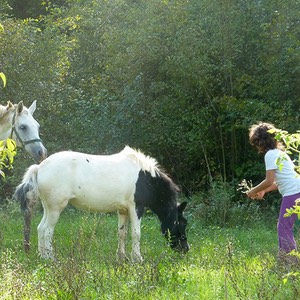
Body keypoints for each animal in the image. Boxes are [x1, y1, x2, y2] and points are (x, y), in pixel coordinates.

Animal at [14, 146, 190, 262]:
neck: (145, 177)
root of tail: (39, 167)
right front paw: (137, 258)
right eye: (182, 223)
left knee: (40, 228)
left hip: (49, 208)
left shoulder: (123, 210)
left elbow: (122, 233)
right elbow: (136, 234)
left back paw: (42, 256)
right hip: (56, 209)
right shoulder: (136, 208)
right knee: (47, 230)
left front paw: (122, 257)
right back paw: (51, 258)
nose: (186, 249)